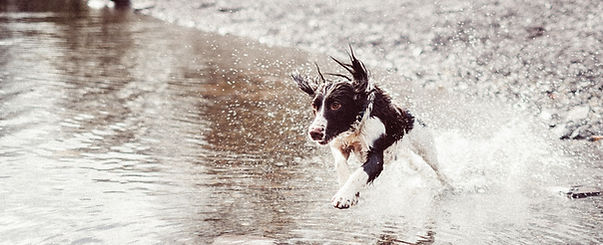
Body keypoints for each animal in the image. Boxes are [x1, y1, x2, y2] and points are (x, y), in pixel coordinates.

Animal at [292, 47, 452, 209]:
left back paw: (450, 185)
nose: (314, 133)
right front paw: (350, 193)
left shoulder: (375, 154)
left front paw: (344, 196)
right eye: (314, 106)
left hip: (425, 145)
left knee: (437, 168)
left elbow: (360, 174)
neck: (355, 128)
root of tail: (409, 116)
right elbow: (340, 164)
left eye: (336, 105)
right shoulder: (339, 144)